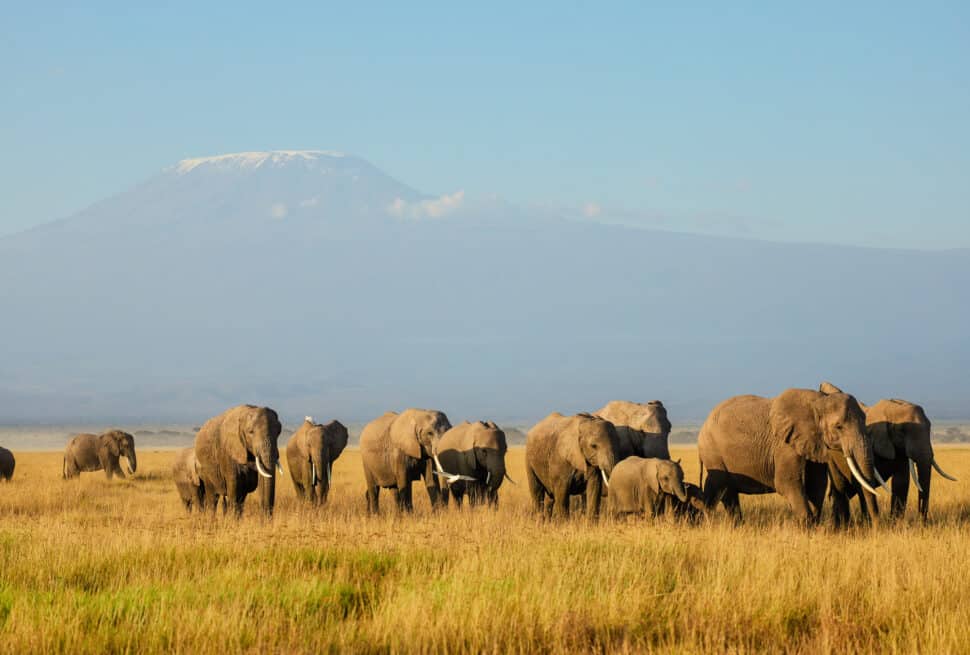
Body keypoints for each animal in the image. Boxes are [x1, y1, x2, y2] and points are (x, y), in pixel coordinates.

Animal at [698, 388, 883, 525]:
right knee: (723, 486)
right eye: (839, 427)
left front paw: (814, 524)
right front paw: (805, 527)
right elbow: (786, 482)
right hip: (713, 451)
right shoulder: (785, 445)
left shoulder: (812, 442)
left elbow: (817, 484)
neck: (819, 401)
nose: (875, 527)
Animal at [820, 382, 957, 521]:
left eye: (930, 427)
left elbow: (901, 483)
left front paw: (896, 524)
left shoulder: (900, 451)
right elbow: (864, 484)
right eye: (901, 431)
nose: (922, 522)